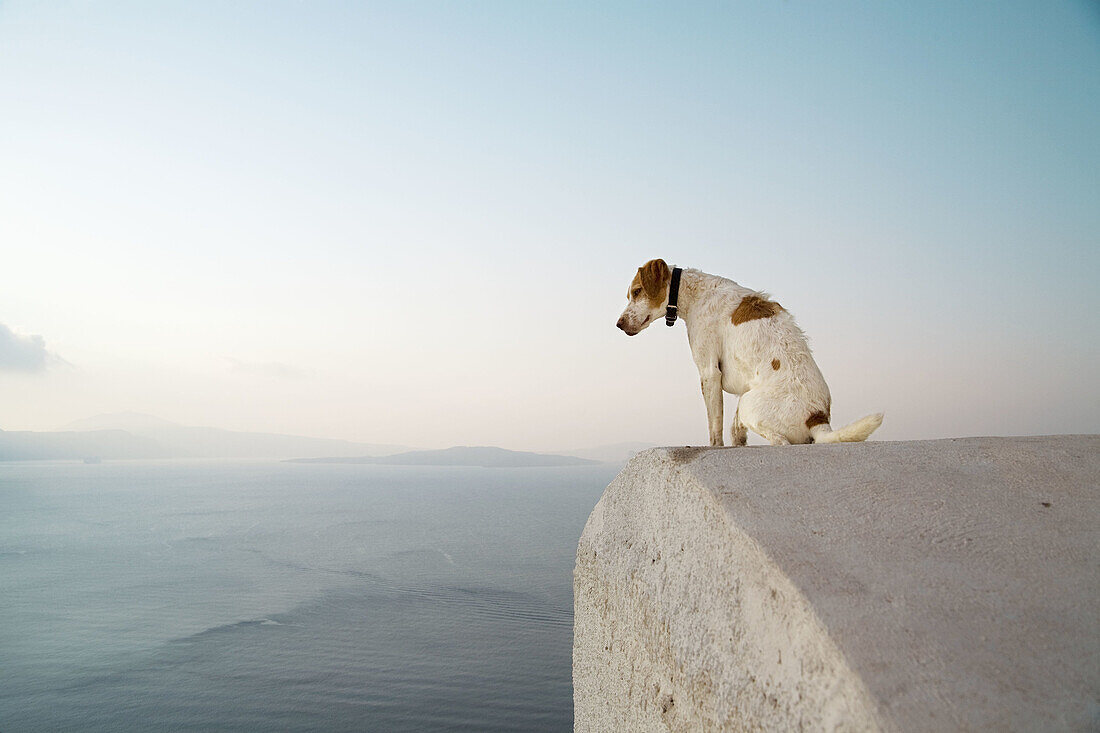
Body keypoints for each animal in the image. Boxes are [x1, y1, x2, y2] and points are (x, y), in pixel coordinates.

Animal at [620, 256, 884, 444]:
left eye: (637, 292)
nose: (618, 324)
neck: (695, 292)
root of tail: (817, 416)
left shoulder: (709, 372)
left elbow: (714, 428)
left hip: (749, 404)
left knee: (780, 441)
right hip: (746, 399)